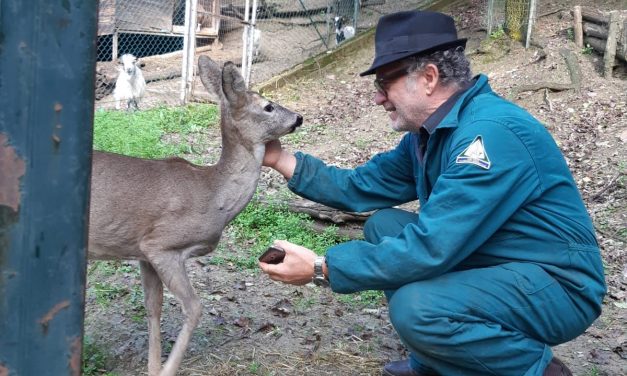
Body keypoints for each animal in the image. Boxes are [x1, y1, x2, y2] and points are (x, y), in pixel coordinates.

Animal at [89, 54, 304, 374]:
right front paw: (168, 369)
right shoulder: (160, 244)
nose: (298, 118)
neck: (214, 196)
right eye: (268, 106)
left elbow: (153, 307)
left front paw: (154, 367)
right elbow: (194, 307)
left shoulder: (142, 253)